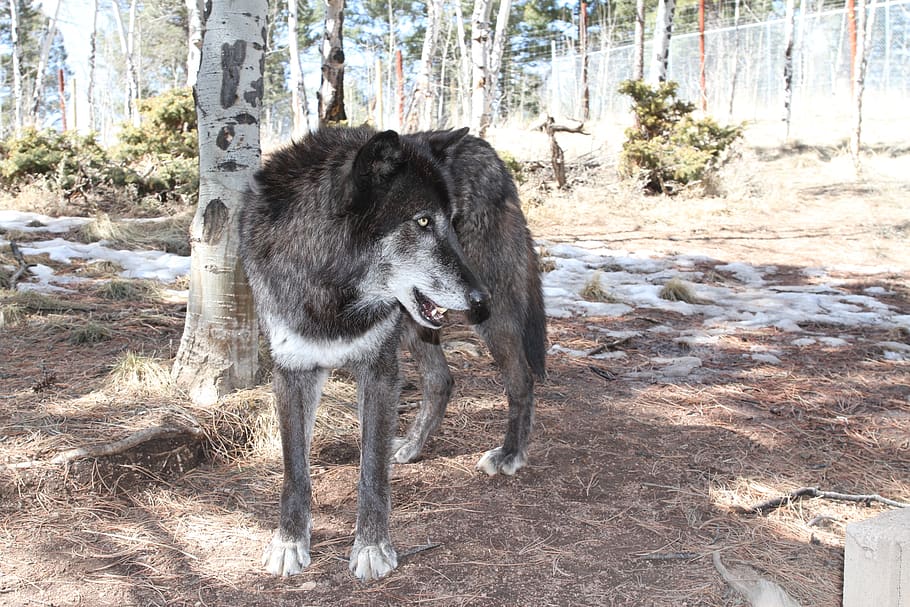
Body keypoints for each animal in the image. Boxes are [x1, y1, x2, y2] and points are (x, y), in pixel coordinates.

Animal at [239, 126, 545, 582]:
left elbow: (371, 471)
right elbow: (295, 470)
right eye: (422, 221)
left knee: (521, 379)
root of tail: (484, 146)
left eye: (452, 220)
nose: (480, 298)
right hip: (419, 327)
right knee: (441, 379)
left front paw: (371, 548)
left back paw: (510, 454)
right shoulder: (292, 371)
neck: (331, 288)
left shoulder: (379, 370)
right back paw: (413, 447)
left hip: (488, 321)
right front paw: (289, 543)